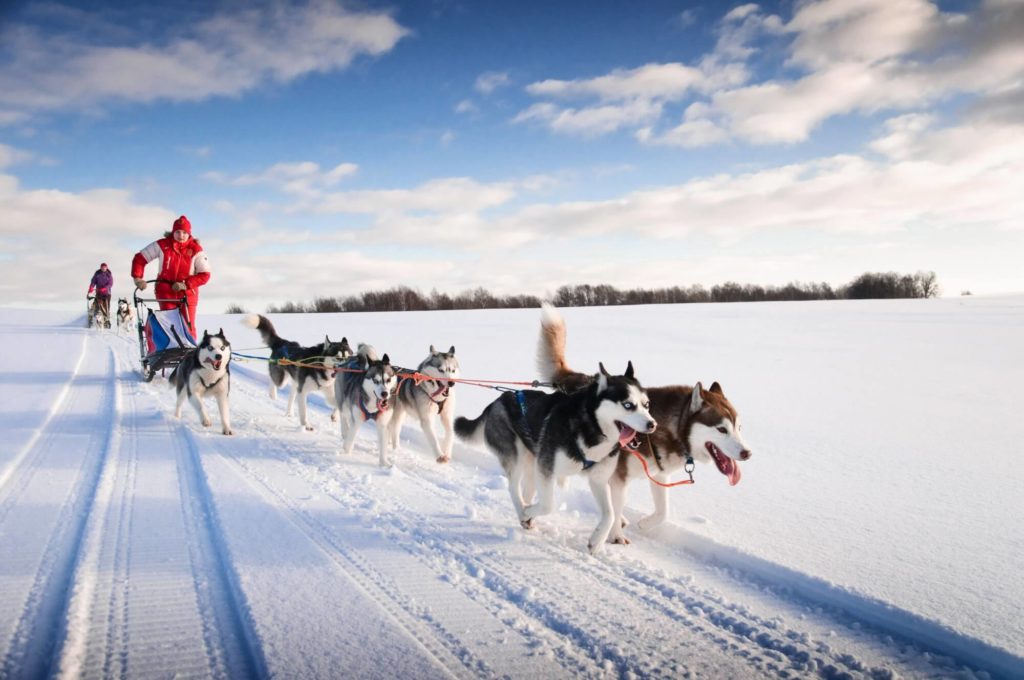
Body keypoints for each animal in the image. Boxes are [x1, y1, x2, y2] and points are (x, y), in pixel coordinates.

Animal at [456, 352, 655, 548]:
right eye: (628, 405)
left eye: (646, 405)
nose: (652, 424)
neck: (591, 427)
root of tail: (497, 401)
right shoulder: (546, 469)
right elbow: (548, 505)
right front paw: (528, 512)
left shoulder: (598, 479)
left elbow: (610, 514)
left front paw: (597, 541)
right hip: (516, 457)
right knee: (513, 488)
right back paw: (523, 511)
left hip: (532, 463)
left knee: (527, 489)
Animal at [536, 303, 753, 536]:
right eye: (722, 429)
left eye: (739, 428)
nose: (747, 453)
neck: (669, 429)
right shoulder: (618, 478)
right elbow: (615, 508)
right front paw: (615, 536)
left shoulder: (659, 476)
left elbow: (662, 512)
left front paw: (644, 524)